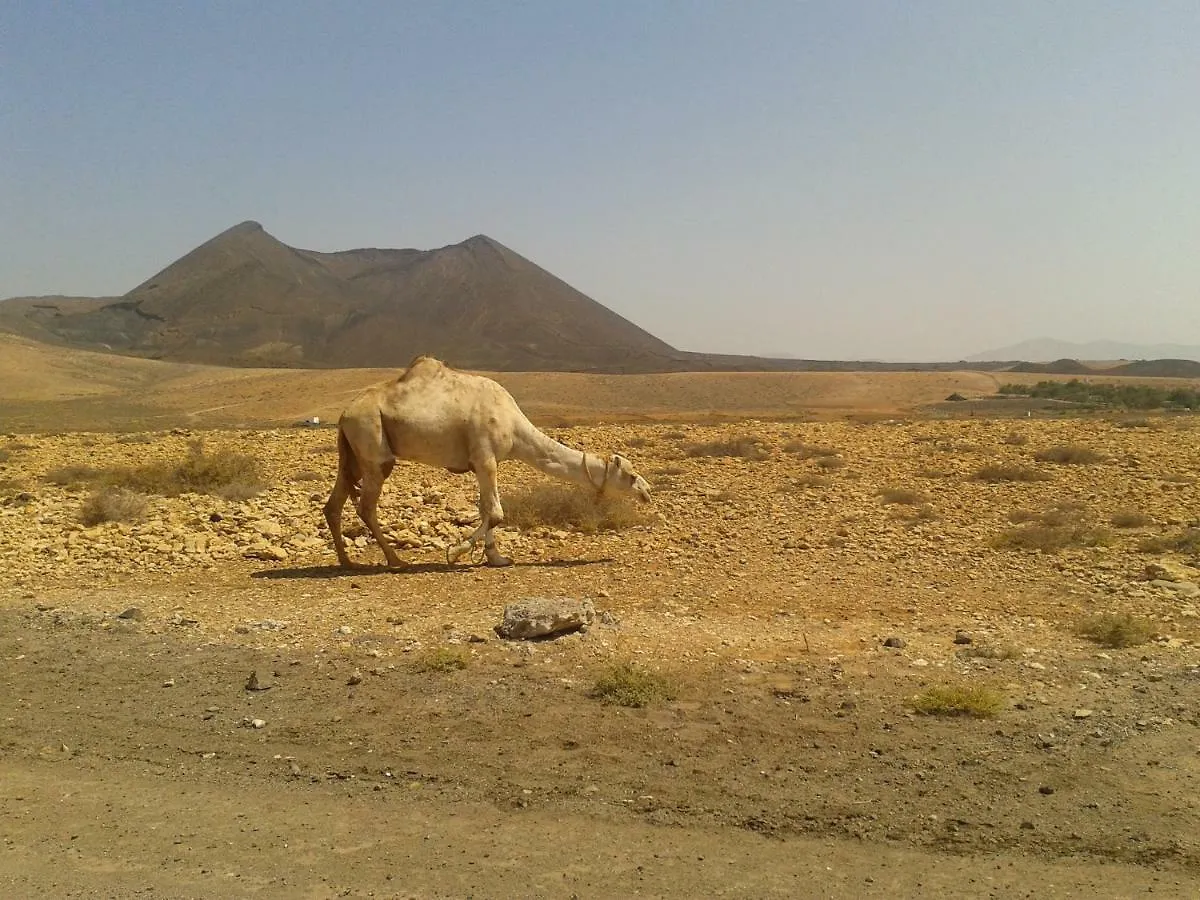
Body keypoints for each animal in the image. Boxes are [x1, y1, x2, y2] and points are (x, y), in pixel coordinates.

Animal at [324, 355, 652, 566]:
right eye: (631, 475)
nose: (648, 492)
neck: (514, 426)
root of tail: (343, 415)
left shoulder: (483, 462)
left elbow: (486, 510)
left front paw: (497, 558)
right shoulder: (485, 457)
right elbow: (494, 513)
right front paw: (455, 553)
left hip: (352, 454)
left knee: (335, 502)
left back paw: (346, 561)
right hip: (372, 442)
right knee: (366, 506)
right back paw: (395, 560)